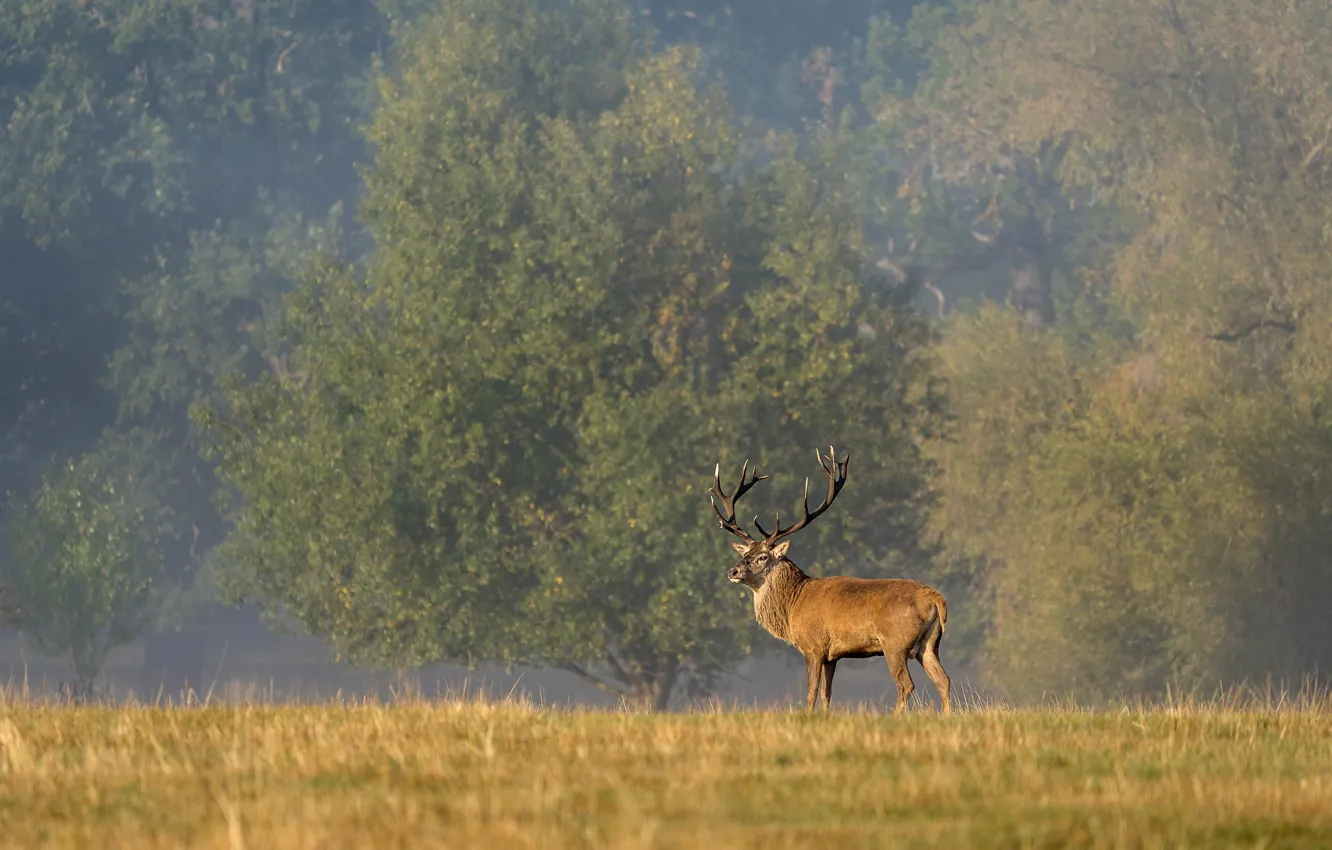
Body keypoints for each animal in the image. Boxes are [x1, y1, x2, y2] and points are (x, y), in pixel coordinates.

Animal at [710, 448, 951, 715]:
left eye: (763, 556)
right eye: (745, 554)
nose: (733, 571)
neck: (792, 605)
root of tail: (936, 599)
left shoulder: (813, 646)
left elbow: (811, 693)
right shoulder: (832, 656)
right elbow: (827, 694)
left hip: (895, 643)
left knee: (906, 685)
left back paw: (894, 716)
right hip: (929, 643)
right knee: (943, 679)